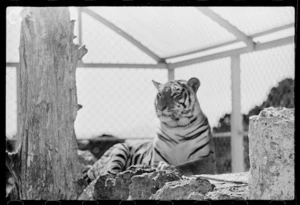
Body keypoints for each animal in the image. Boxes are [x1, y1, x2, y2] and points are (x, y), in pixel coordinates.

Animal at [82, 77, 216, 183]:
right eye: (159, 95)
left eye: (175, 94)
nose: (160, 107)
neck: (177, 127)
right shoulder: (156, 159)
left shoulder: (207, 159)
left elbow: (188, 165)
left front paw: (170, 168)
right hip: (120, 147)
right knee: (110, 172)